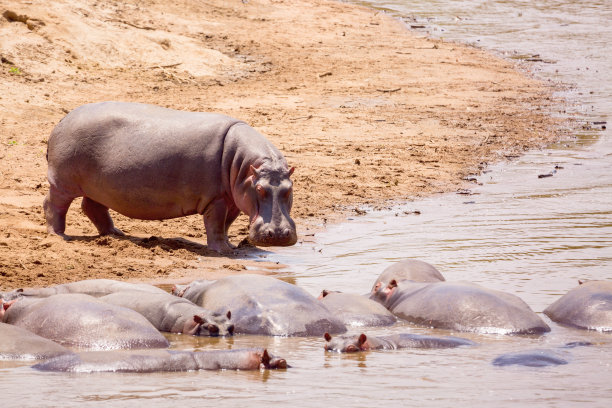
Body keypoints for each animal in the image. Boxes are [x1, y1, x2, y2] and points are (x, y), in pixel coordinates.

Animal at [44, 100, 298, 252]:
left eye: (289, 189)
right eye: (260, 189)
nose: (278, 234)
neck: (246, 166)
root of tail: (63, 120)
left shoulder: (233, 198)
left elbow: (227, 224)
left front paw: (230, 245)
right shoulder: (216, 199)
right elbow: (216, 224)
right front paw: (224, 250)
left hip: (98, 186)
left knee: (92, 207)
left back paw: (116, 234)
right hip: (63, 183)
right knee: (53, 204)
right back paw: (60, 235)